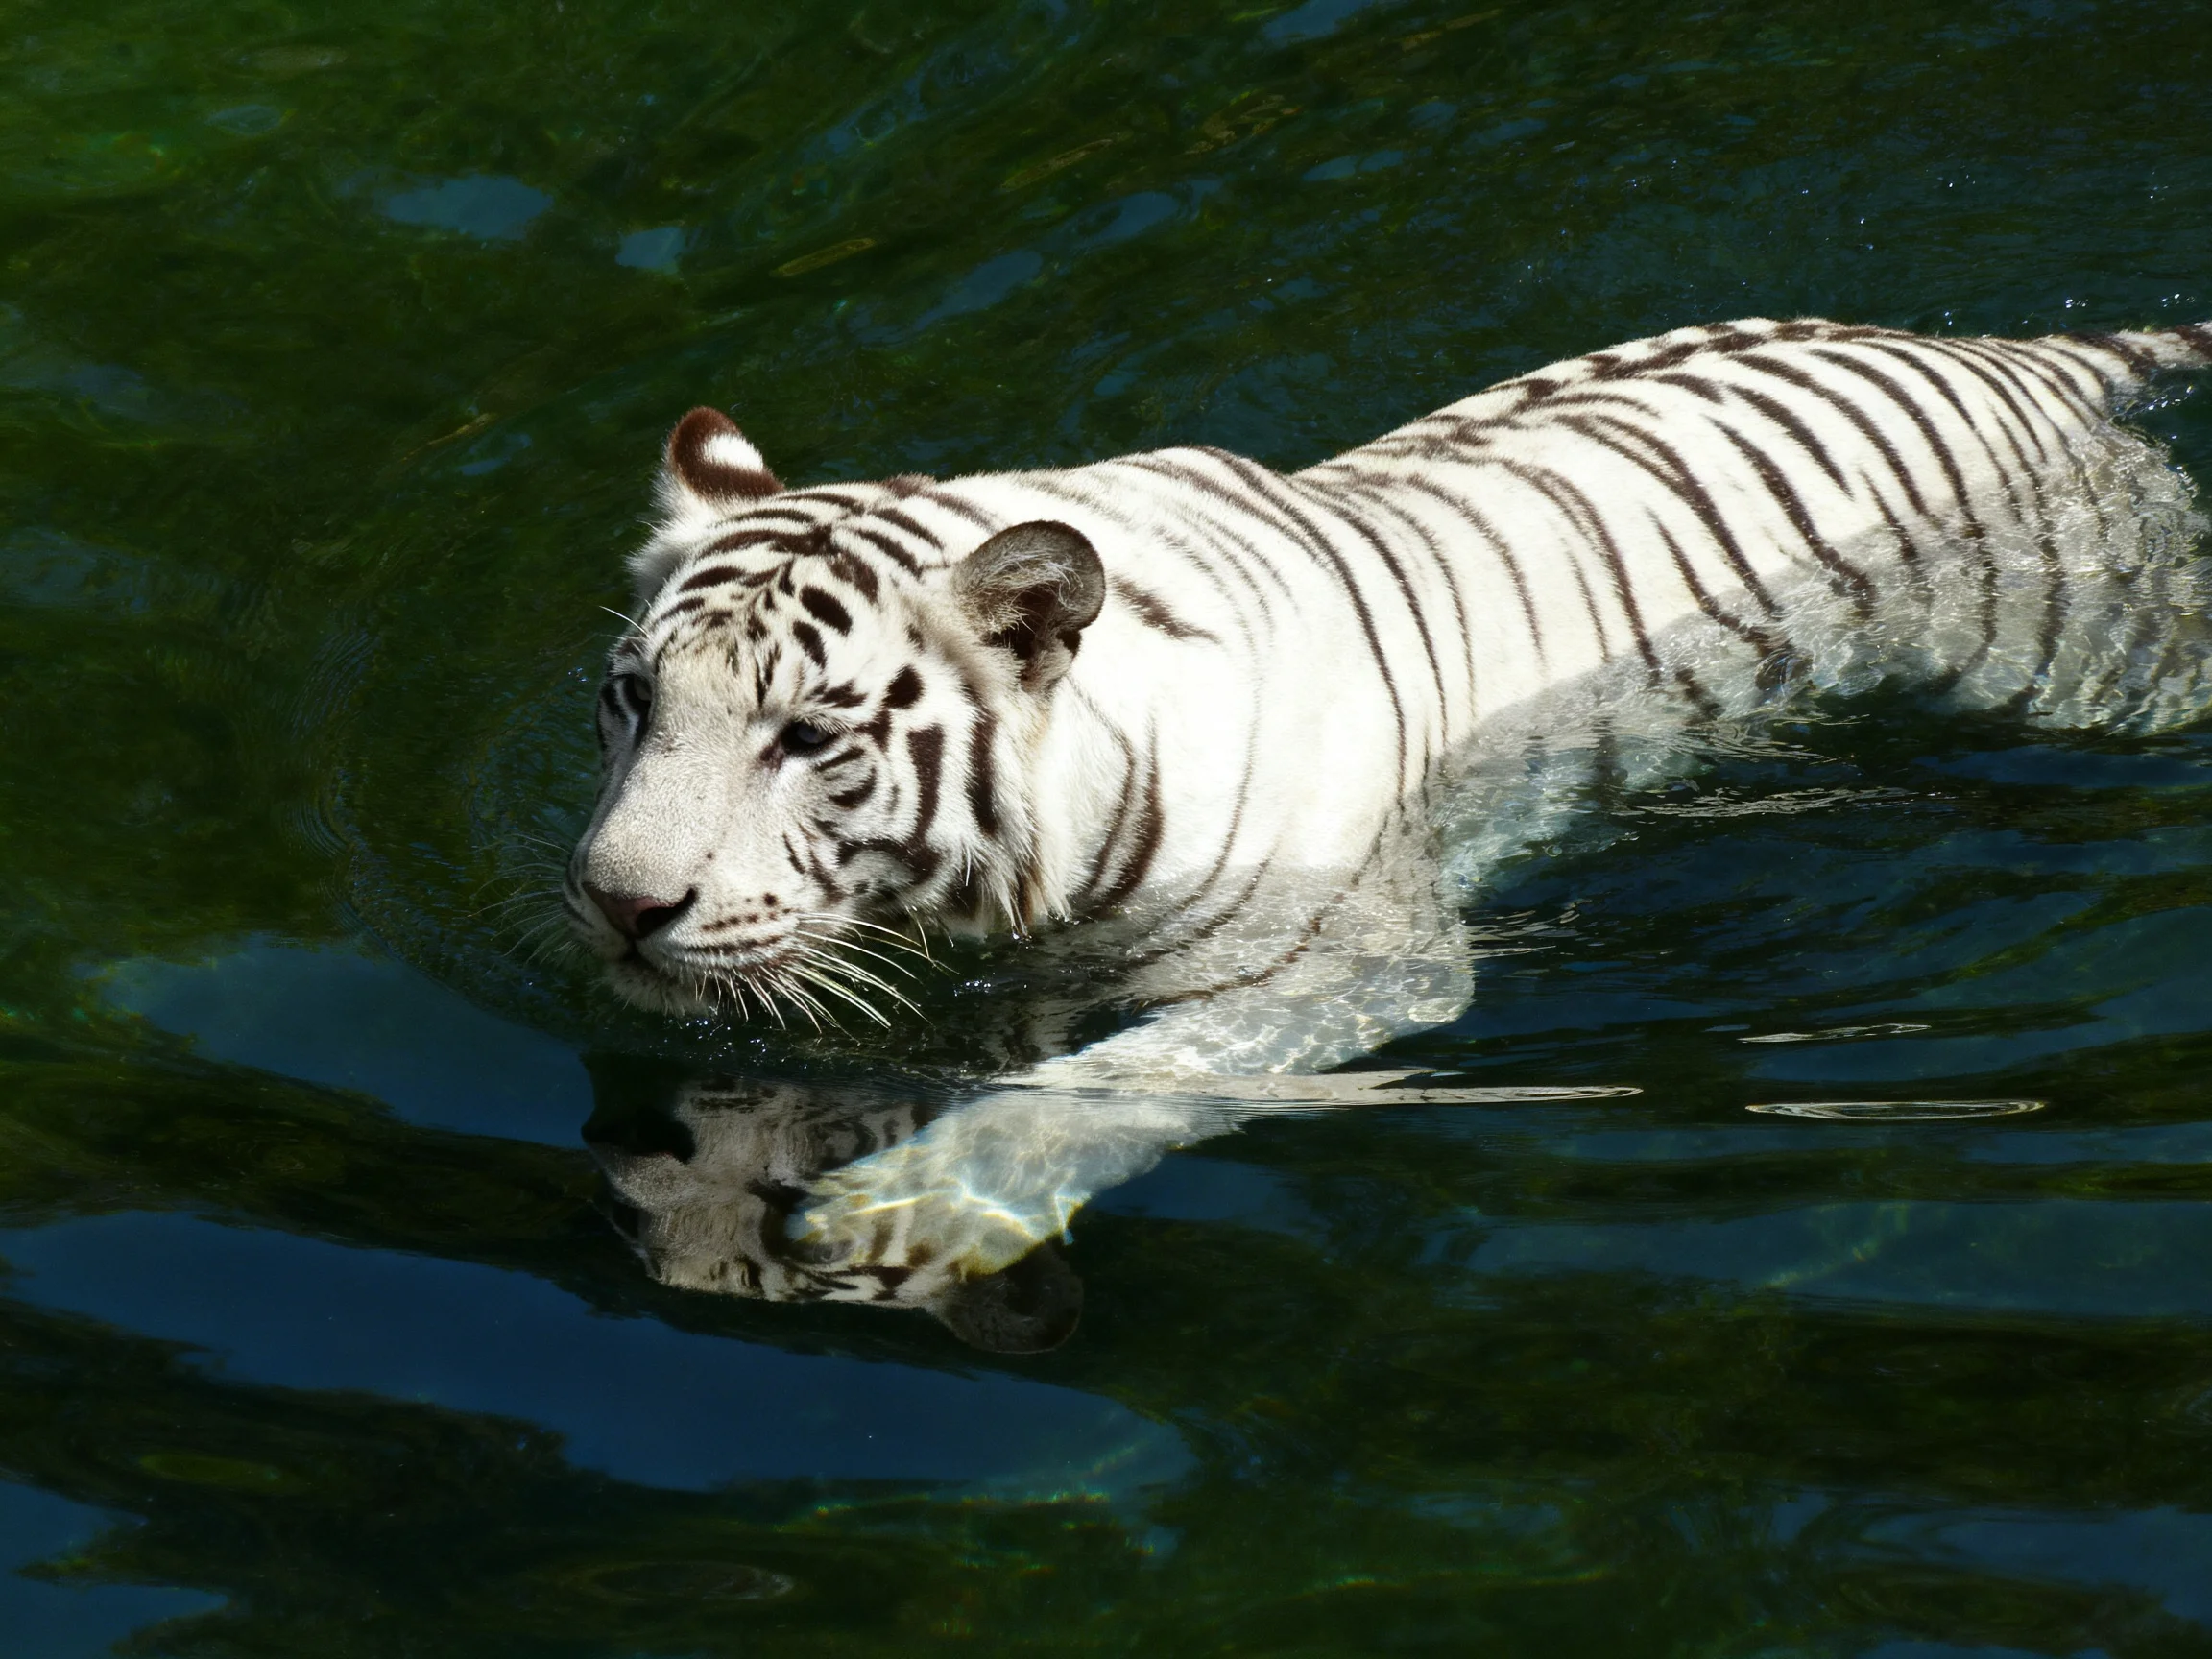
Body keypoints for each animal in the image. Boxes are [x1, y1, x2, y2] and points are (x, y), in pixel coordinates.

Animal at [565, 314, 2212, 1287]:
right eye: (634, 699)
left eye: (804, 735)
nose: (617, 905)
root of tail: (2036, 354)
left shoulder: (1354, 969)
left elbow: (1116, 1080)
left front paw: (911, 1208)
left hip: (2094, 657)